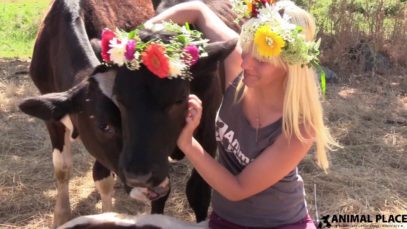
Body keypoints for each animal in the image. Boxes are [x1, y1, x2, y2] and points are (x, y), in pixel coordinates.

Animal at [17, 0, 237, 227]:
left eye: (179, 99)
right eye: (105, 126)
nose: (148, 184)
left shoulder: (207, 127)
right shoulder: (52, 116)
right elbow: (62, 167)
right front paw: (61, 217)